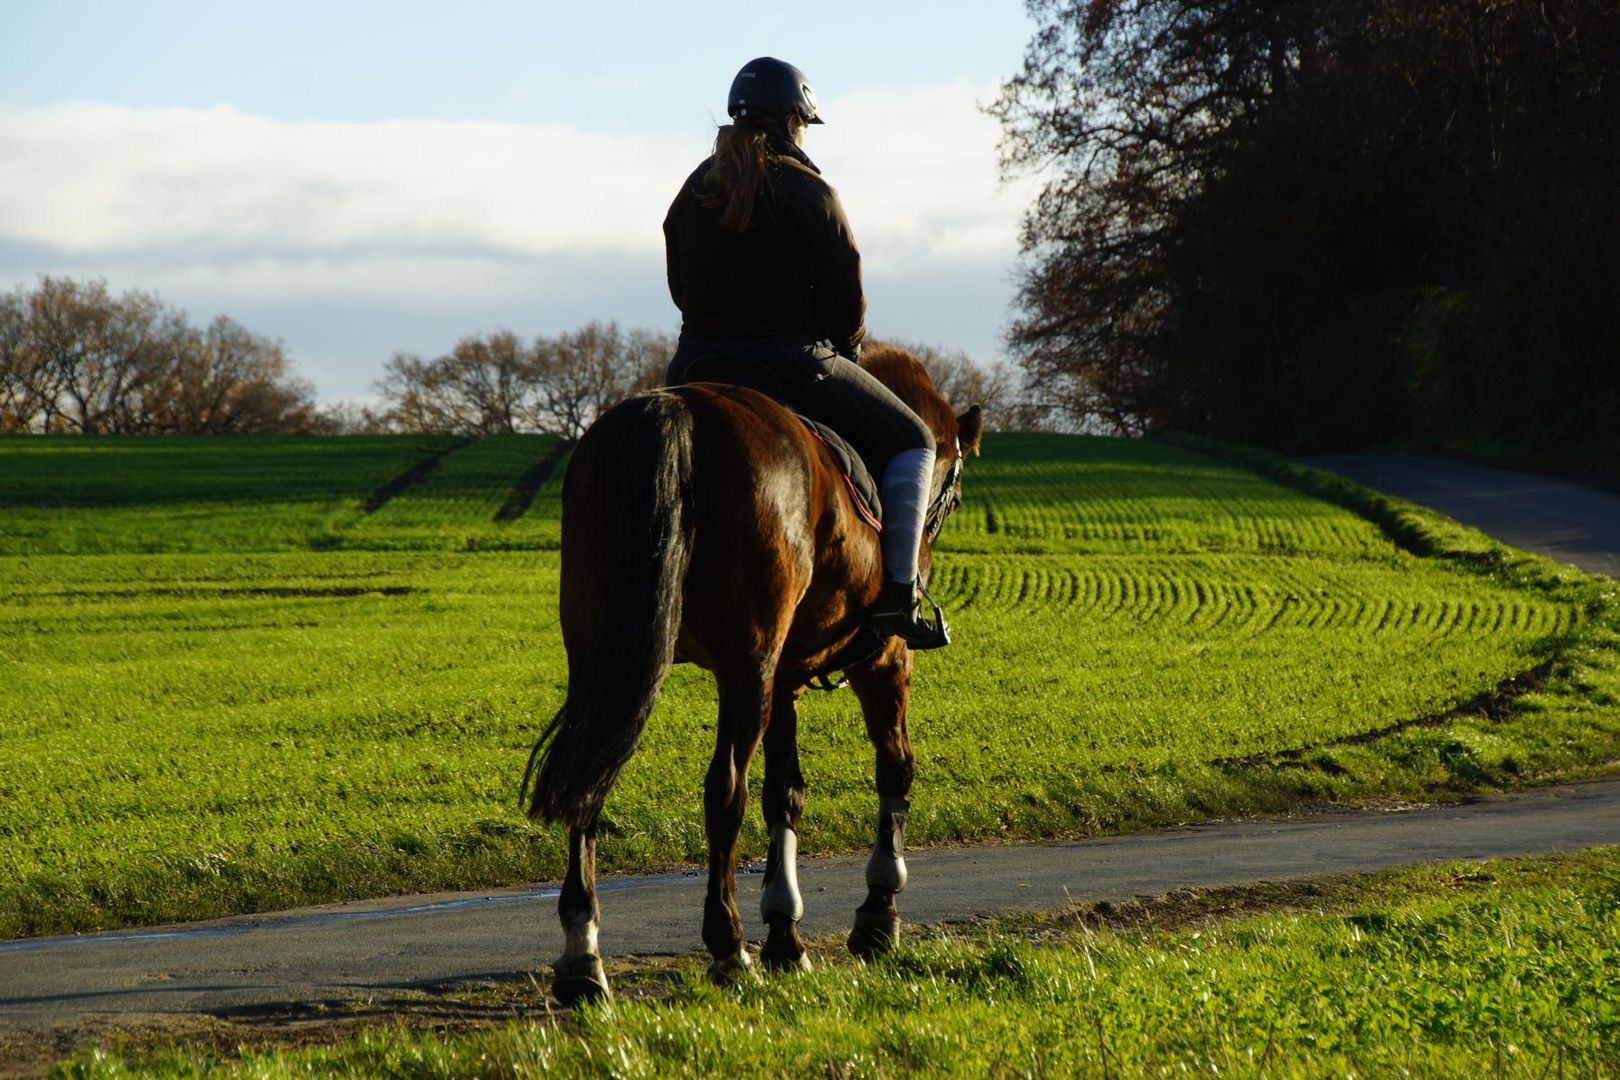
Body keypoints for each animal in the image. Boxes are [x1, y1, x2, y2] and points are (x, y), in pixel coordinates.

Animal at [524, 341, 978, 1003]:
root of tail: (678, 410)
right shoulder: (884, 656)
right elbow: (895, 768)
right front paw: (878, 914)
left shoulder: (783, 678)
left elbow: (784, 793)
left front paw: (786, 934)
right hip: (747, 663)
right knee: (724, 789)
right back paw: (728, 948)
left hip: (609, 659)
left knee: (590, 779)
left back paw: (584, 958)